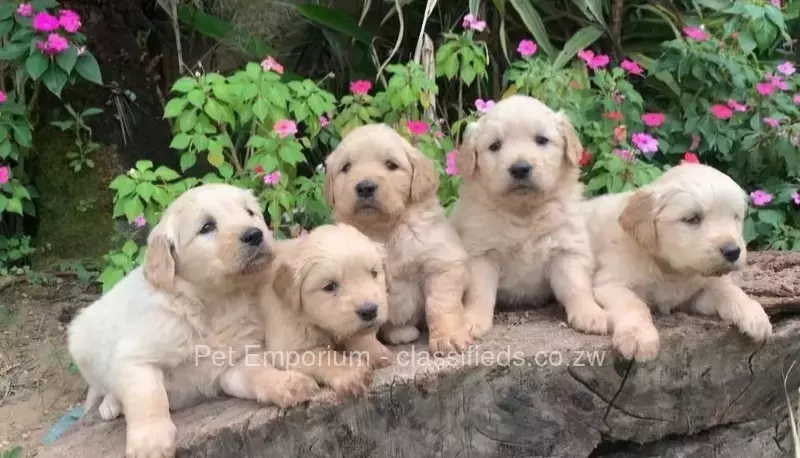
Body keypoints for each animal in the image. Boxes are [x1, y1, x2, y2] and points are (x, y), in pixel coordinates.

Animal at [68, 184, 318, 458]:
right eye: (206, 227)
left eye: (250, 212)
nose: (255, 234)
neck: (214, 305)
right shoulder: (136, 359)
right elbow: (148, 397)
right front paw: (150, 442)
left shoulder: (235, 360)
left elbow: (259, 372)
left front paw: (287, 383)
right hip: (82, 342)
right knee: (104, 386)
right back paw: (110, 405)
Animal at [264, 225, 392, 398]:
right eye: (329, 286)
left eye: (373, 273)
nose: (369, 311)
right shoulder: (289, 348)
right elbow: (322, 355)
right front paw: (351, 372)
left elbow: (358, 336)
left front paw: (374, 351)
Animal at [324, 124, 476, 354]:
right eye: (346, 167)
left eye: (391, 165)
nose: (365, 187)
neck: (384, 230)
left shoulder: (441, 262)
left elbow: (439, 304)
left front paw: (447, 337)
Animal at [450, 95, 608, 338]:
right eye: (495, 146)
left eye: (541, 140)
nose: (520, 168)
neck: (524, 212)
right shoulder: (481, 253)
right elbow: (479, 292)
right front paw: (472, 320)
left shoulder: (566, 247)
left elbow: (576, 285)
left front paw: (590, 314)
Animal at [580, 163, 776, 360]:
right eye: (692, 219)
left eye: (735, 217)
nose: (733, 251)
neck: (671, 270)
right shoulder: (610, 284)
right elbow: (634, 304)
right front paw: (639, 336)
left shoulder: (698, 294)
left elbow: (727, 289)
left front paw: (754, 314)